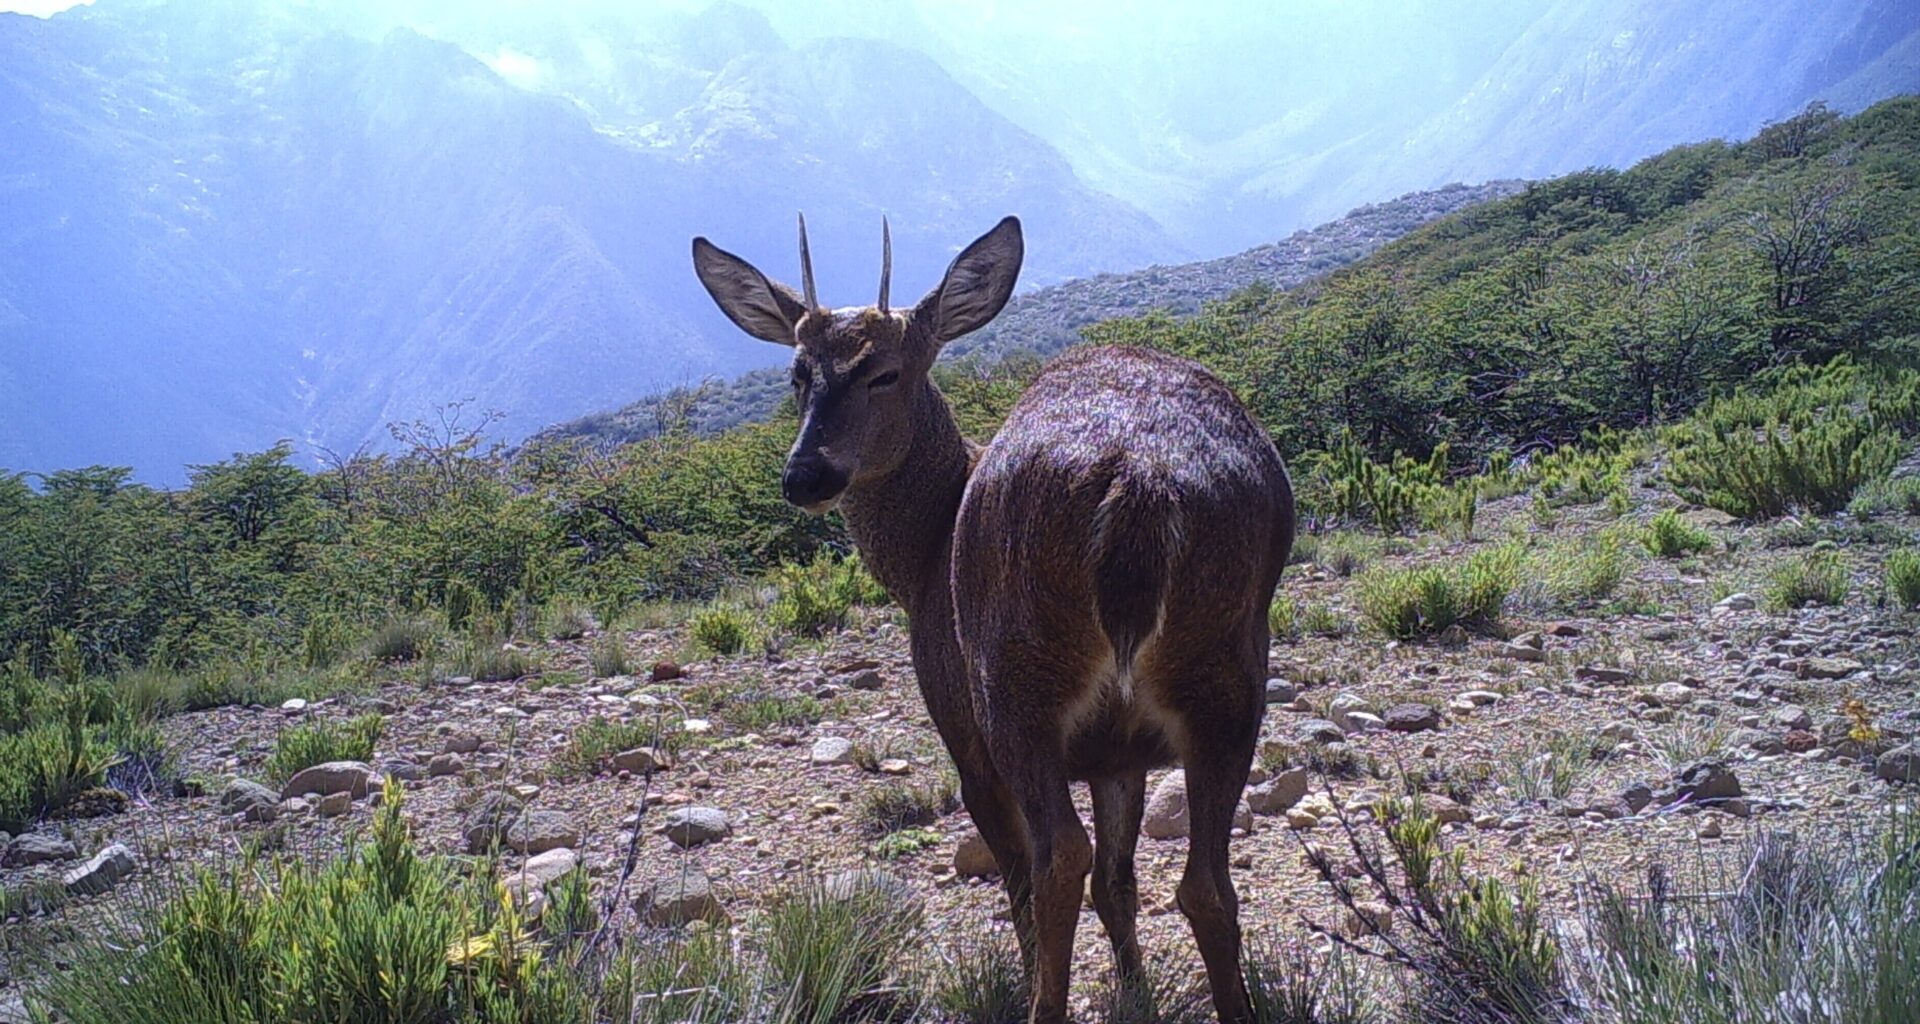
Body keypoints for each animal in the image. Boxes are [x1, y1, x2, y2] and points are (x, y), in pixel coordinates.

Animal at [691, 213, 1290, 1014]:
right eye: (797, 373)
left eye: (887, 371)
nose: (805, 474)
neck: (921, 557)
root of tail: (1141, 481)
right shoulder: (1119, 752)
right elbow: (1120, 885)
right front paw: (1135, 993)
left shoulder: (959, 726)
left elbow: (1027, 882)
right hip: (1226, 670)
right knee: (1204, 885)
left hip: (1015, 679)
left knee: (1056, 861)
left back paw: (1041, 1005)